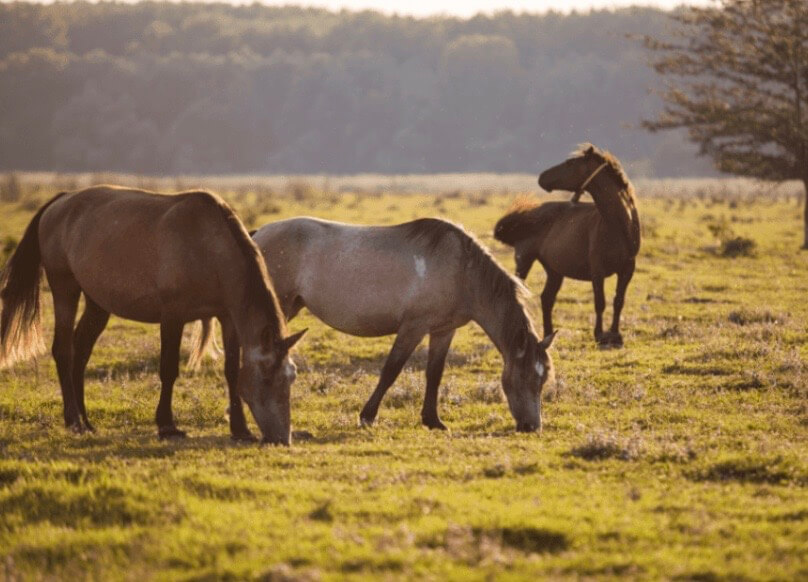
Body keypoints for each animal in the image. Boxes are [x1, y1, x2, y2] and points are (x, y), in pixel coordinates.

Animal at [0, 186, 305, 445]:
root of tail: (61, 201)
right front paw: (167, 425)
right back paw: (74, 420)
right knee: (64, 350)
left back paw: (85, 421)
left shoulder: (228, 318)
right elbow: (168, 368)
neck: (208, 248)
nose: (282, 438)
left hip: (97, 304)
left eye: (291, 378)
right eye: (267, 378)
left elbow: (231, 370)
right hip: (65, 290)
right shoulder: (172, 315)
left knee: (81, 351)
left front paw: (240, 429)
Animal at [252, 216, 557, 433]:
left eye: (543, 379)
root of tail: (258, 234)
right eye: (527, 376)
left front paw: (433, 420)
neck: (462, 271)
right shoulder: (413, 327)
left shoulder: (443, 331)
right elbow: (391, 370)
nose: (532, 427)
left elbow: (434, 374)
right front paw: (367, 416)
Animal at [493, 144, 640, 347]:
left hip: (554, 271)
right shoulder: (597, 270)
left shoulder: (627, 269)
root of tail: (528, 214)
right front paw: (599, 335)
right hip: (524, 261)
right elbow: (600, 301)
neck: (617, 226)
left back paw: (548, 334)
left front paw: (616, 336)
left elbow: (619, 301)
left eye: (570, 163)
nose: (542, 177)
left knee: (547, 299)